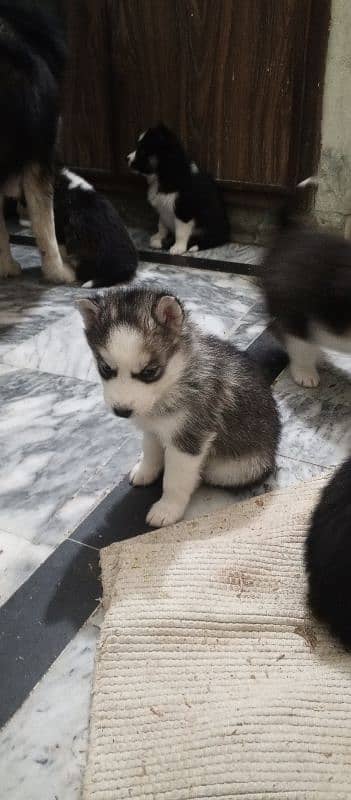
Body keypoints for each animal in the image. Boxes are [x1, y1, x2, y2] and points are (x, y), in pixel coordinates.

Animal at [78, 286, 282, 524]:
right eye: (105, 368)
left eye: (150, 372)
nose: (122, 411)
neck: (172, 383)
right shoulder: (152, 428)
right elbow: (150, 450)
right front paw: (146, 470)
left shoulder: (189, 439)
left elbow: (175, 479)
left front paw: (168, 509)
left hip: (233, 468)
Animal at [126, 123, 231, 255]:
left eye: (142, 150)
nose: (126, 158)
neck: (165, 174)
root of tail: (226, 234)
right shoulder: (163, 207)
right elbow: (161, 225)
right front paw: (159, 237)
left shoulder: (184, 210)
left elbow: (181, 232)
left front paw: (178, 247)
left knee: (211, 240)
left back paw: (193, 246)